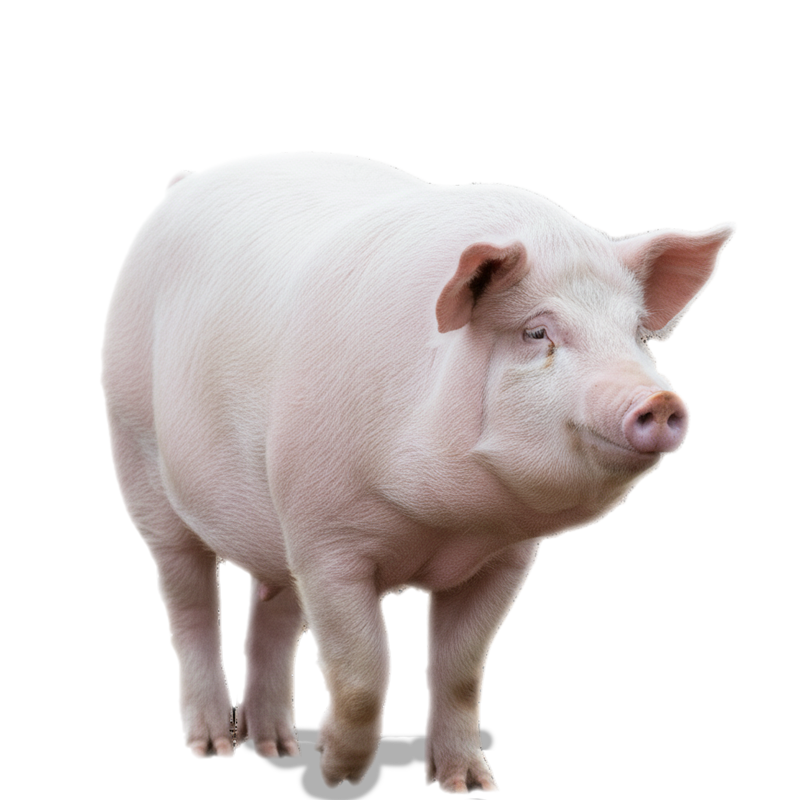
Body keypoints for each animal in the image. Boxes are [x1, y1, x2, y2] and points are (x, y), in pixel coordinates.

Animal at [100, 151, 736, 795]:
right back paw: (211, 749)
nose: (660, 400)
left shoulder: (506, 557)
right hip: (134, 447)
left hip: (272, 525)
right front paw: (337, 774)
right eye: (536, 332)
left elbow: (461, 672)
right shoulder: (326, 539)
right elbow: (363, 670)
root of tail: (183, 183)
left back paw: (277, 746)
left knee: (271, 610)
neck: (445, 524)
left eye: (636, 334)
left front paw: (471, 786)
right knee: (188, 603)